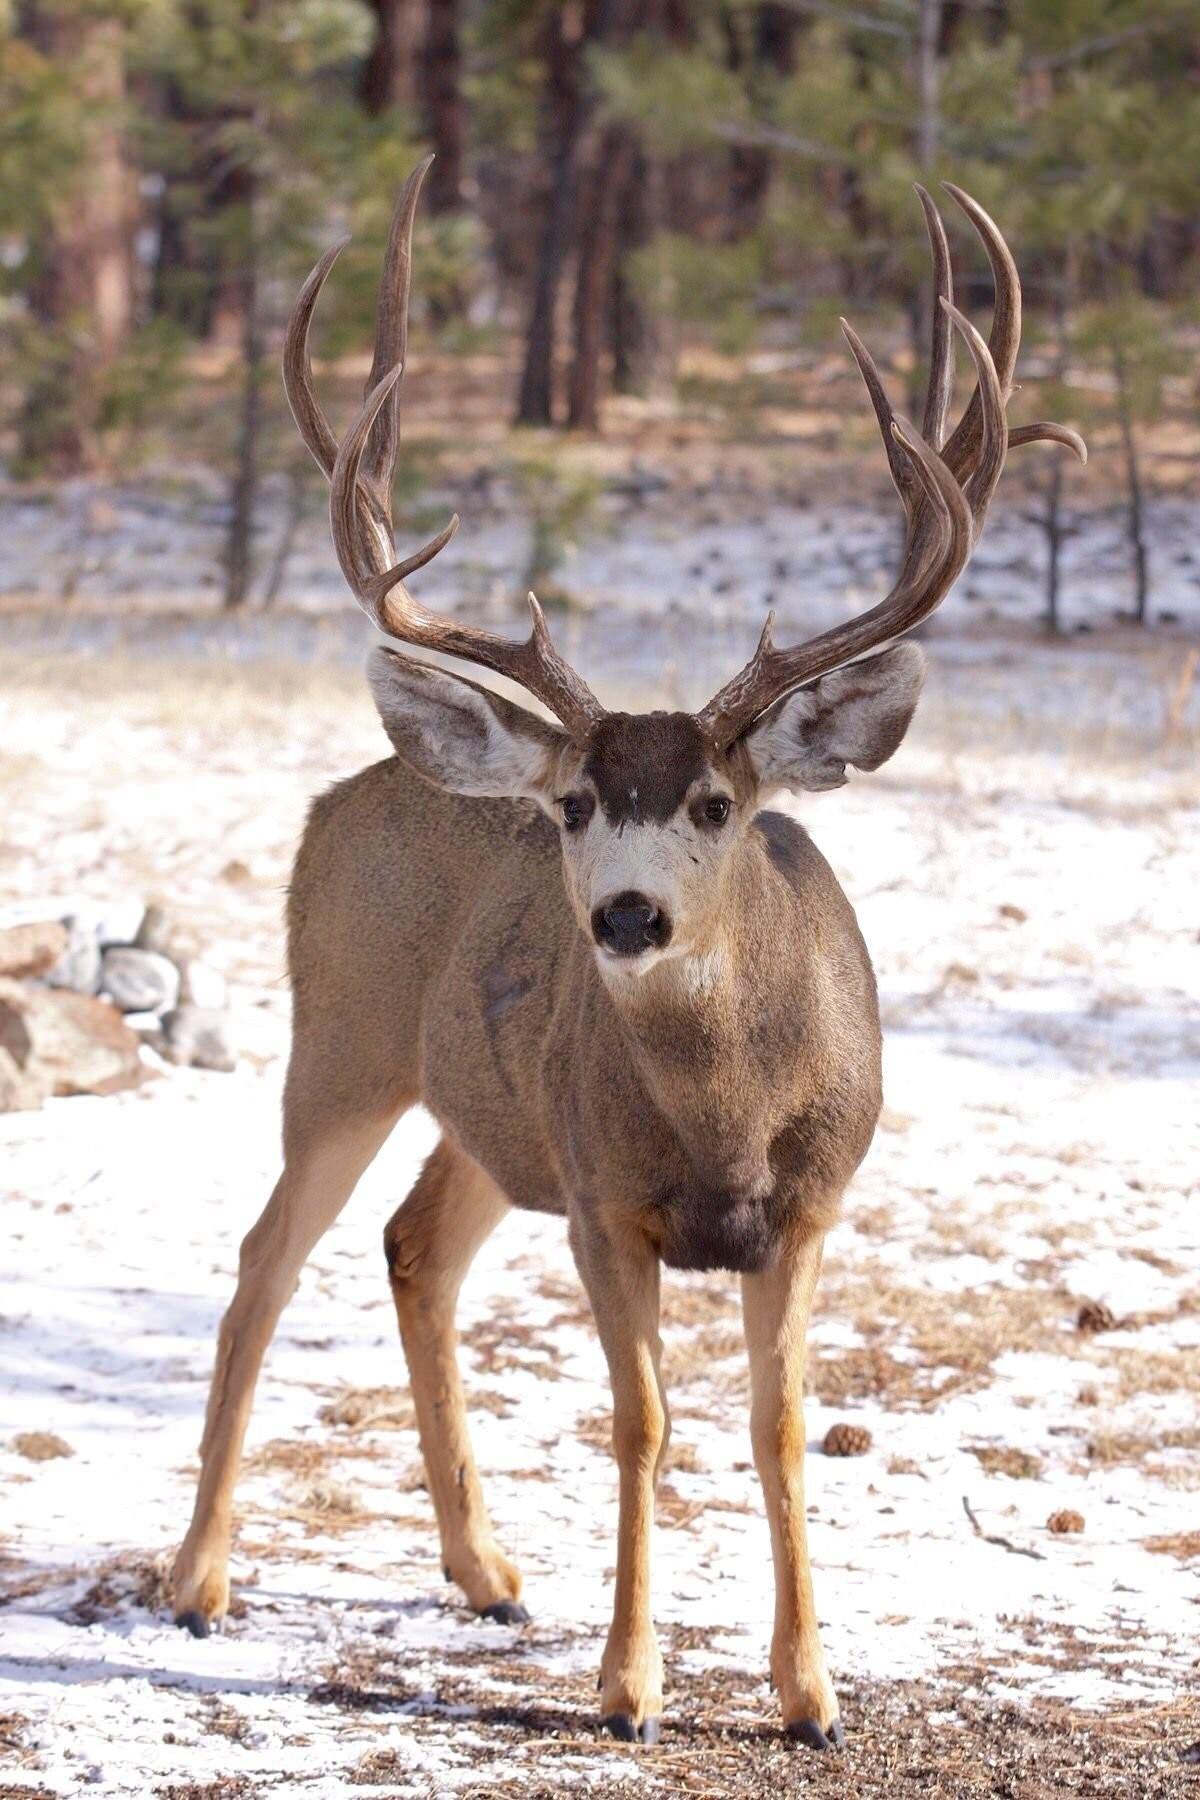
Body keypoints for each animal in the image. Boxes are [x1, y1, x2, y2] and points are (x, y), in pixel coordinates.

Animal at [170, 162, 1086, 1749]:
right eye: (578, 805)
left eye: (717, 803)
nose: (627, 917)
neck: (724, 1123)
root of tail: (343, 794)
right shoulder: (606, 1202)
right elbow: (645, 1418)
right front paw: (628, 1687)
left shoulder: (813, 1204)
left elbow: (779, 1425)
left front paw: (811, 1693)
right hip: (338, 1045)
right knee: (262, 1262)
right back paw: (198, 1582)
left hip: (494, 1111)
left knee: (412, 1244)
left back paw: (485, 1573)